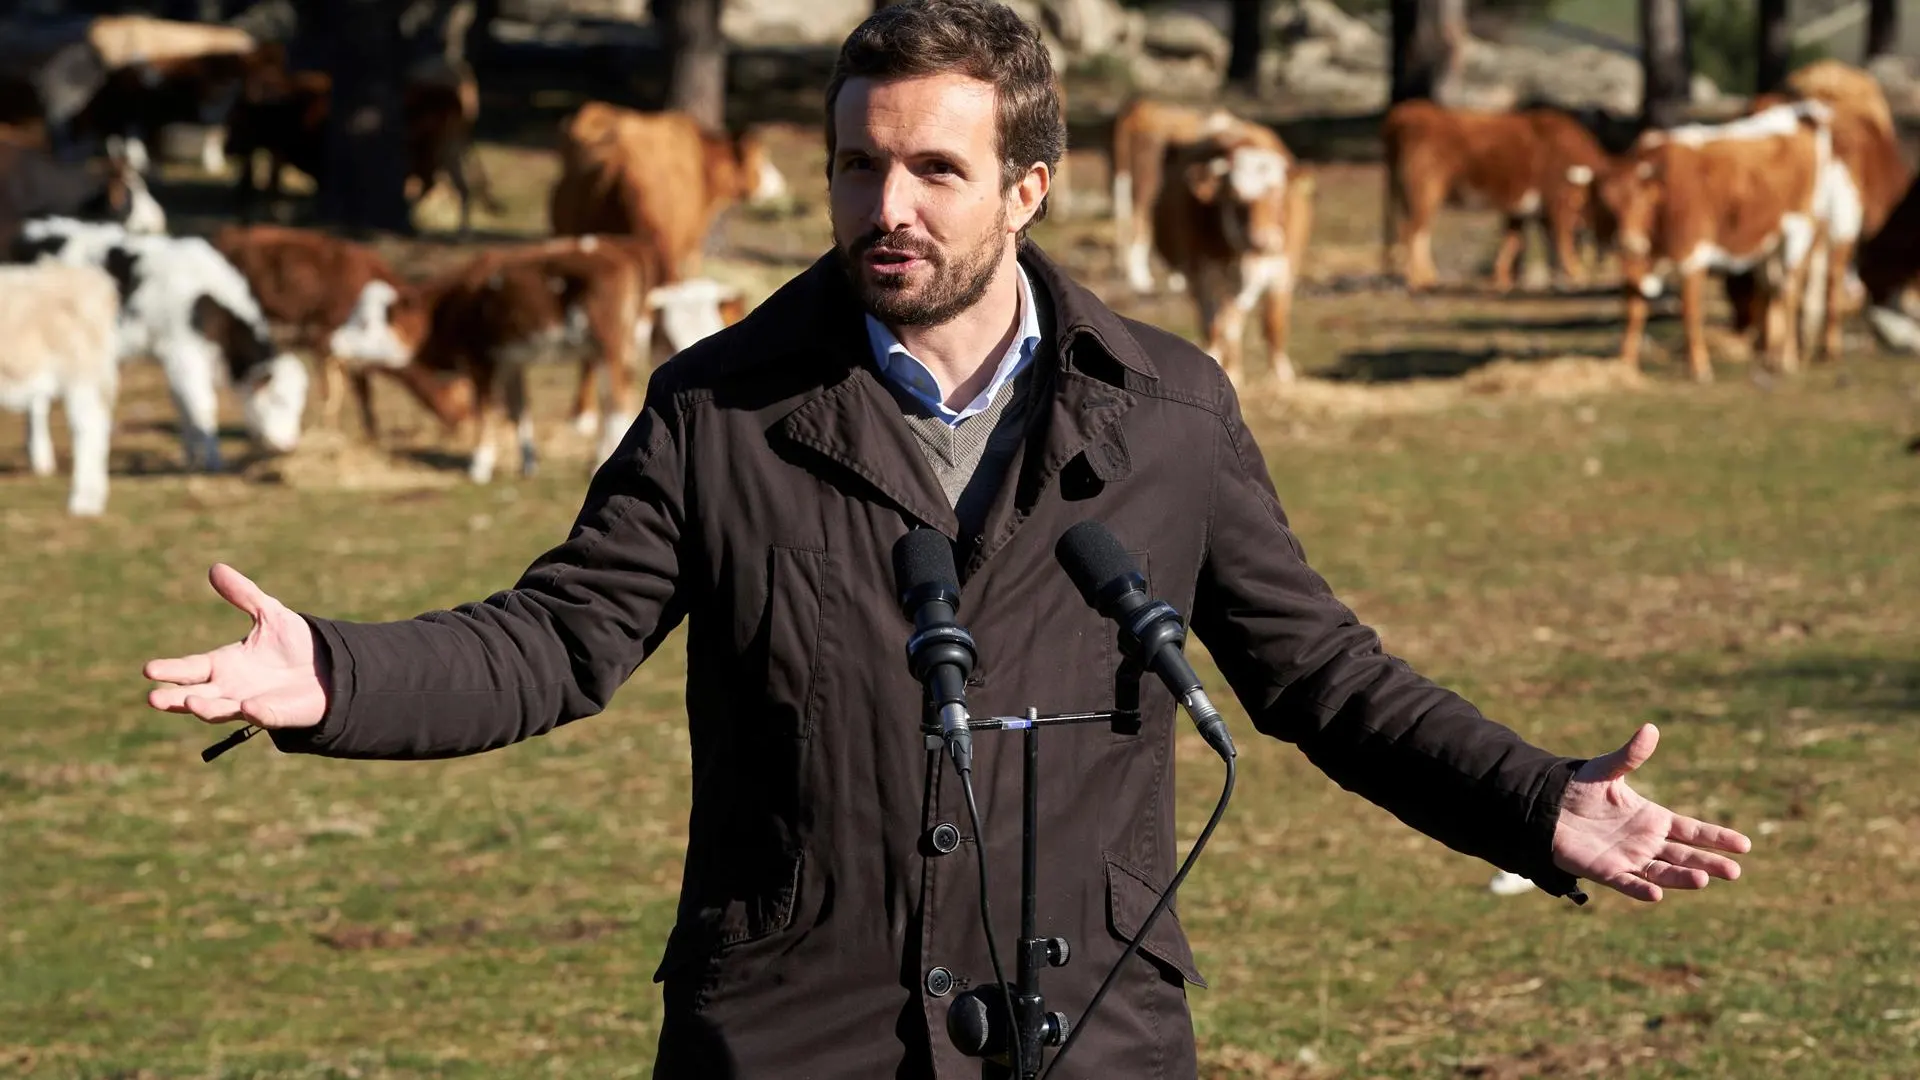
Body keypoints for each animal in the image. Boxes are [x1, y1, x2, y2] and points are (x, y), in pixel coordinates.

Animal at [1374, 99, 1612, 292]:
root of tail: (1405, 112)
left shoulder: (1521, 209)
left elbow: (1513, 241)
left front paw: (1502, 279)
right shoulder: (1557, 202)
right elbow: (1562, 241)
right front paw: (1577, 274)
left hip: (1410, 195)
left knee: (1419, 232)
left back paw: (1427, 278)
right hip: (1425, 191)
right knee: (1412, 231)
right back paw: (1417, 280)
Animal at [1582, 97, 1835, 382]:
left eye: (1641, 201)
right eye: (1606, 205)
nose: (1627, 242)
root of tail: (1800, 113)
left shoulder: (1692, 255)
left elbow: (1690, 312)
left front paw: (1699, 367)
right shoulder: (1637, 264)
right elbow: (1634, 311)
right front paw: (1625, 365)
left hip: (1798, 230)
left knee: (1790, 289)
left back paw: (1786, 359)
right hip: (1768, 241)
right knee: (1771, 289)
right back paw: (1767, 355)